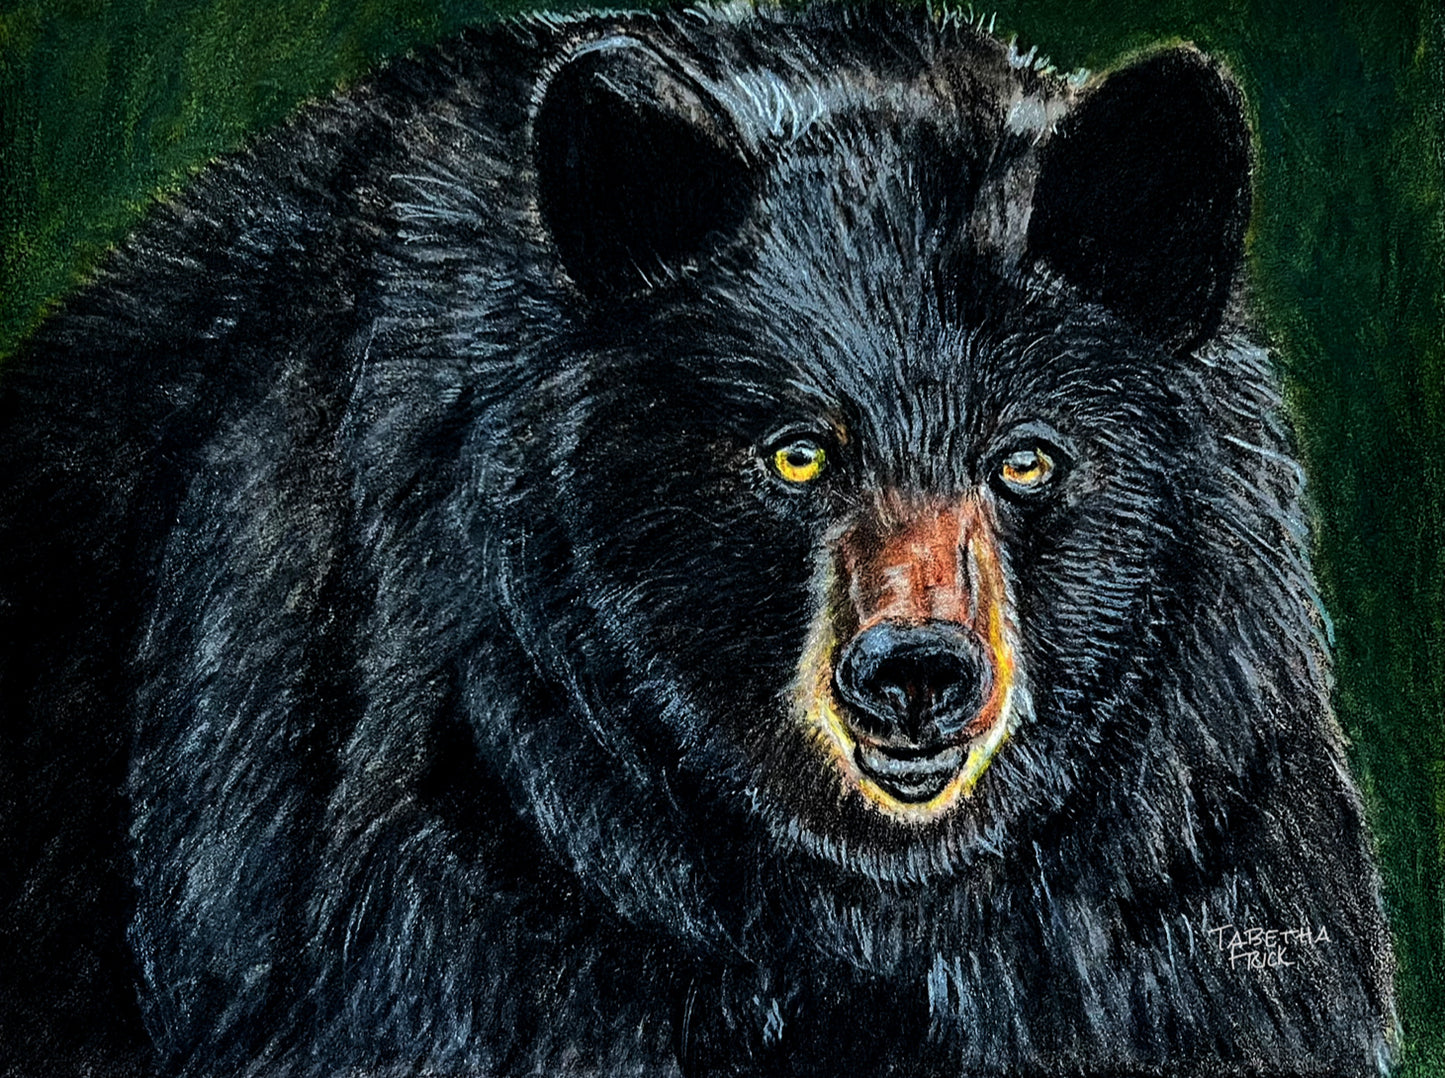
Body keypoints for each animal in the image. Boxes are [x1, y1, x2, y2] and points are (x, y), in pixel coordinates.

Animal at [0, 2, 1398, 1076]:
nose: (916, 674)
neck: (855, 910)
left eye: (1024, 460)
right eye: (796, 452)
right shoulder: (474, 864)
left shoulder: (1174, 877)